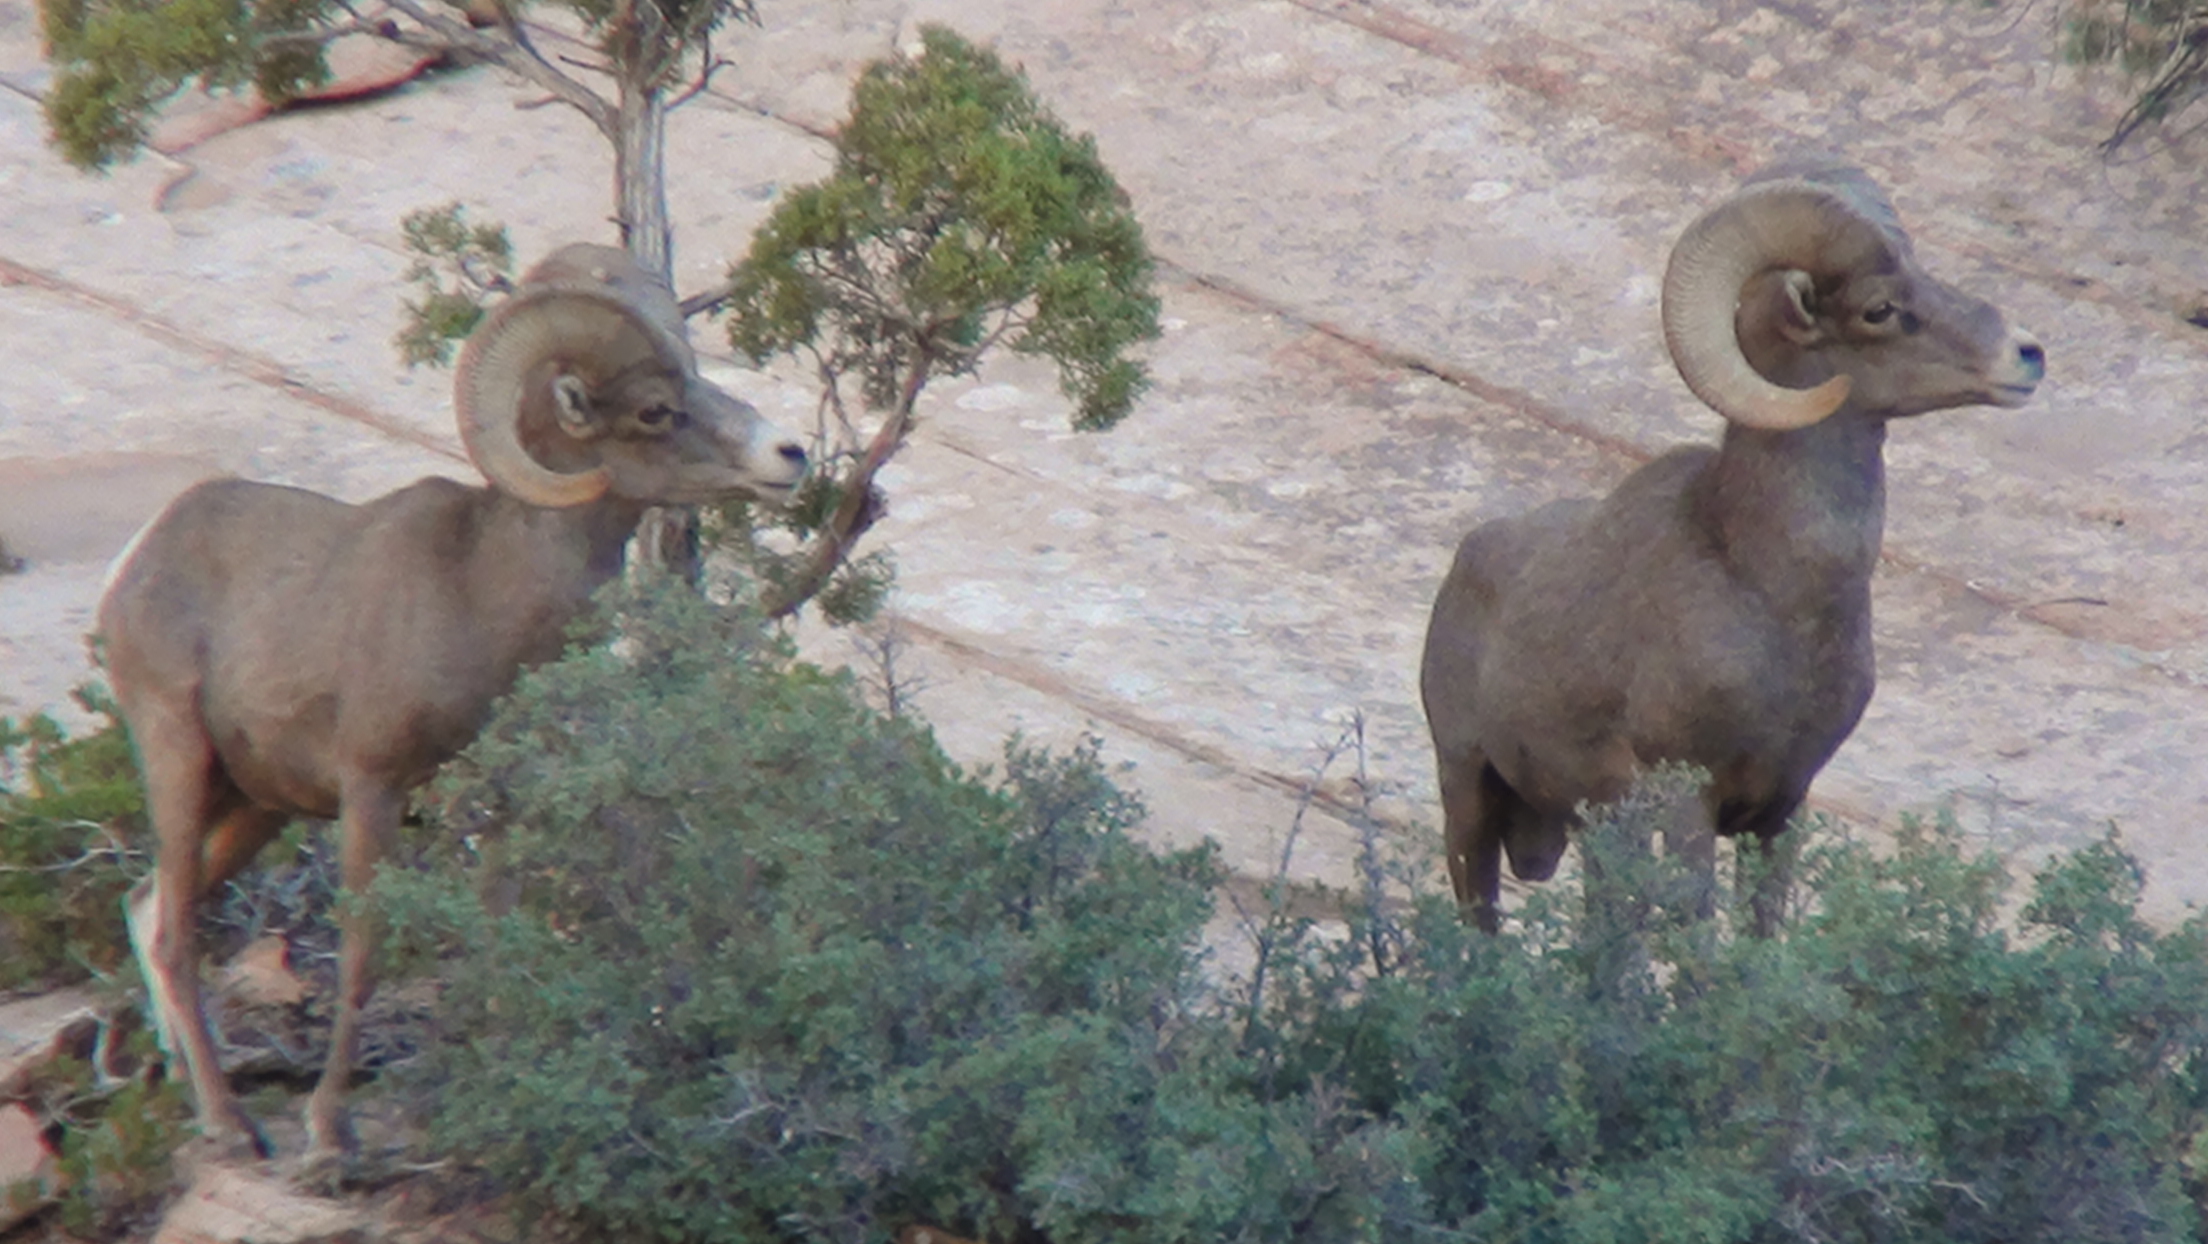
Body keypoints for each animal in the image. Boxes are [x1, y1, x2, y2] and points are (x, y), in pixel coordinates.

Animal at [103, 243, 808, 1157]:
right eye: (655, 409)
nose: (790, 455)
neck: (479, 596)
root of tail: (140, 558)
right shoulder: (372, 791)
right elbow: (364, 956)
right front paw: (331, 1132)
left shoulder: (500, 810)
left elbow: (497, 941)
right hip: (181, 762)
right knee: (175, 934)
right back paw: (230, 1125)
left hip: (258, 806)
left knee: (148, 909)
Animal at [1421, 165, 2040, 941]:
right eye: (1880, 308)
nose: (2027, 354)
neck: (1775, 599)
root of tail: (1466, 560)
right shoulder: (1691, 803)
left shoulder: (1781, 807)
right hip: (1468, 792)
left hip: (1601, 834)